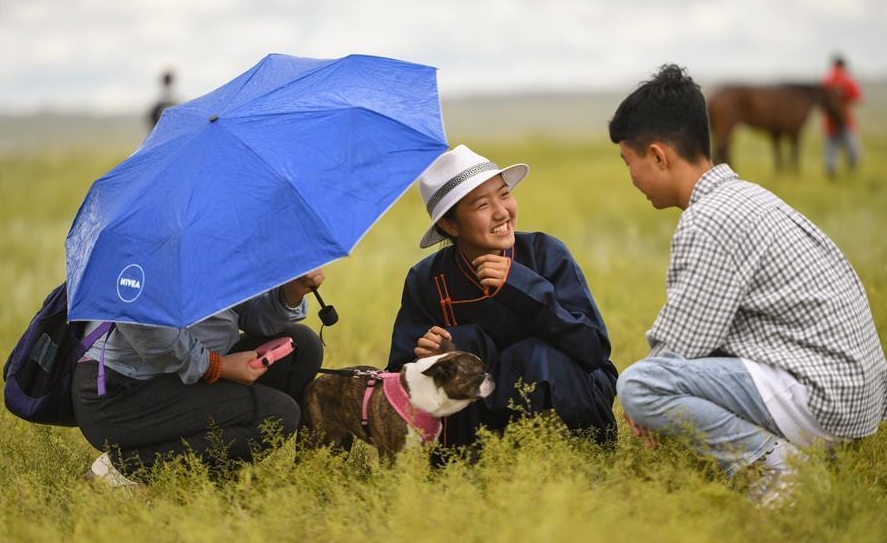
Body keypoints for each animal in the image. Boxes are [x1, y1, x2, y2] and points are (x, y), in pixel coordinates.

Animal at [300, 340, 494, 464]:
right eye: (479, 373)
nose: (491, 376)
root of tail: (312, 384)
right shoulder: (391, 453)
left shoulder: (422, 451)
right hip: (315, 439)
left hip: (341, 442)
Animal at [707, 84, 845, 172]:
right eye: (838, 99)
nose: (842, 120)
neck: (800, 97)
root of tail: (713, 97)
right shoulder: (795, 131)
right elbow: (794, 152)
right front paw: (795, 172)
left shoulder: (777, 131)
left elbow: (778, 152)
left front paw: (781, 172)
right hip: (726, 127)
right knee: (723, 148)